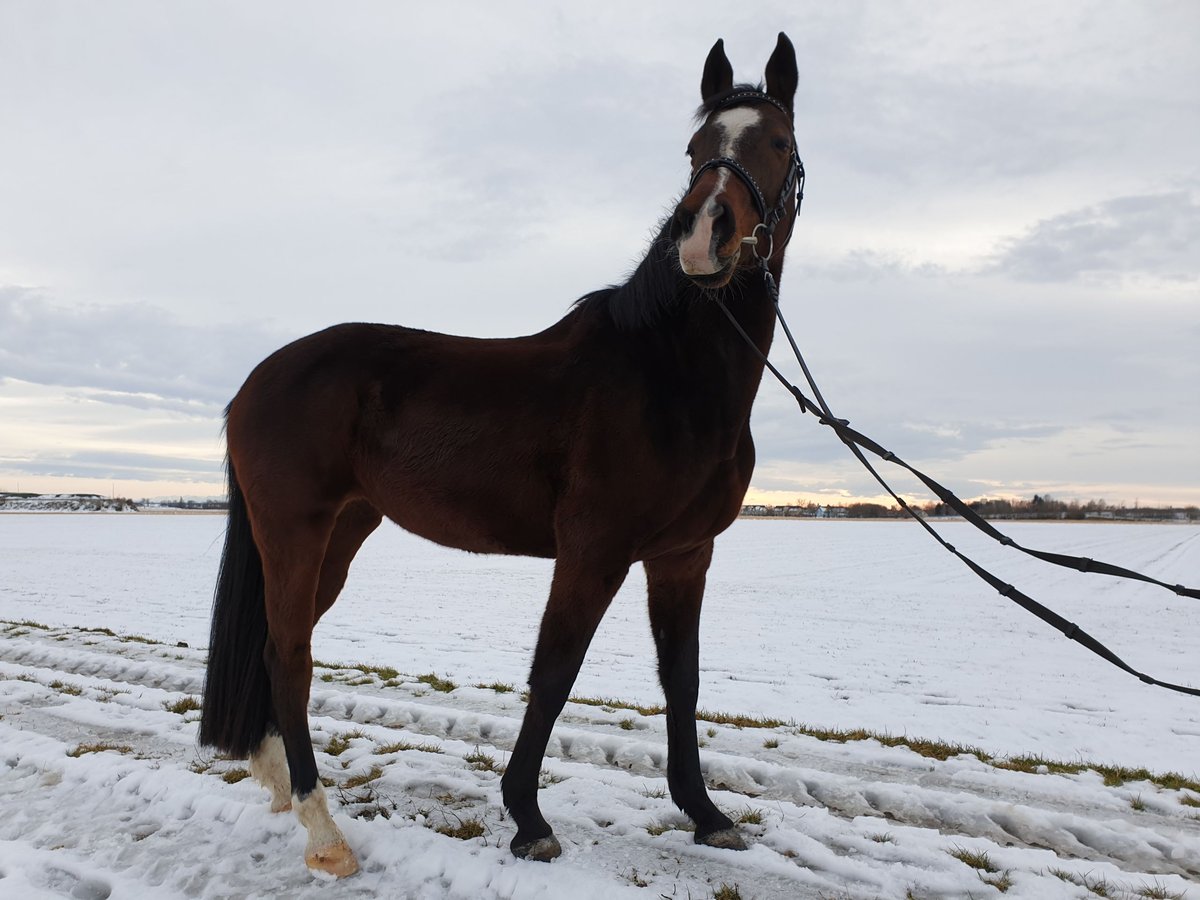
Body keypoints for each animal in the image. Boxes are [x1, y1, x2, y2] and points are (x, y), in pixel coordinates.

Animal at [201, 31, 801, 878]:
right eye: (694, 149)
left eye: (777, 142)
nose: (702, 234)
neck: (668, 373)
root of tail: (257, 381)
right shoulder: (592, 552)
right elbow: (553, 673)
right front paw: (527, 818)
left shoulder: (683, 556)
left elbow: (680, 681)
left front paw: (707, 814)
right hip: (297, 531)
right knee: (289, 655)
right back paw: (325, 832)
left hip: (341, 533)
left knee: (270, 647)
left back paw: (279, 780)